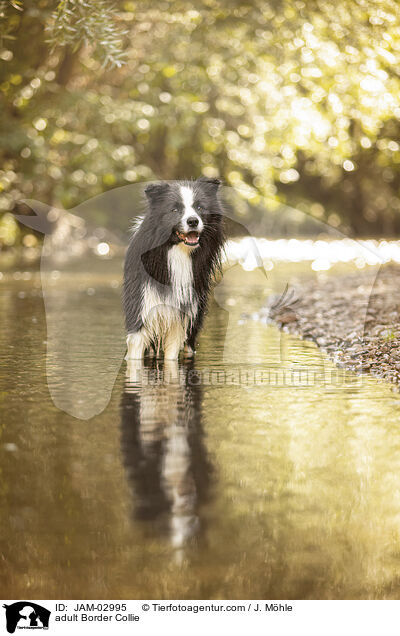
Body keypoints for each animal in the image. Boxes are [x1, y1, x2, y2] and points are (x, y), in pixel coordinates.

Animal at [123, 178, 225, 358]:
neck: (178, 252)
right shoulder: (143, 306)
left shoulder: (182, 314)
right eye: (175, 209)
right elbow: (135, 350)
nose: (193, 221)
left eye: (200, 207)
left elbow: (172, 353)